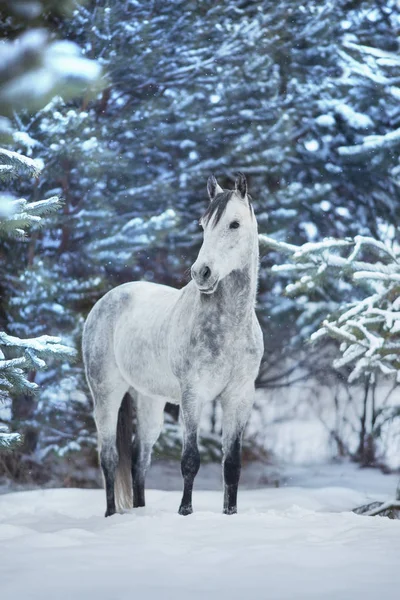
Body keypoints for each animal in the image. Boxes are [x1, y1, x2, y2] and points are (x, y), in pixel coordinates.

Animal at [82, 173, 264, 516]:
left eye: (234, 224)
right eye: (203, 225)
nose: (201, 273)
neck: (229, 328)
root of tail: (107, 299)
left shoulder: (239, 398)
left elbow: (232, 465)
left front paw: (230, 514)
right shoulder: (193, 396)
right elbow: (190, 460)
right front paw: (185, 512)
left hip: (149, 400)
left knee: (139, 460)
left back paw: (139, 511)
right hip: (107, 393)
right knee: (109, 458)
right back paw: (112, 515)